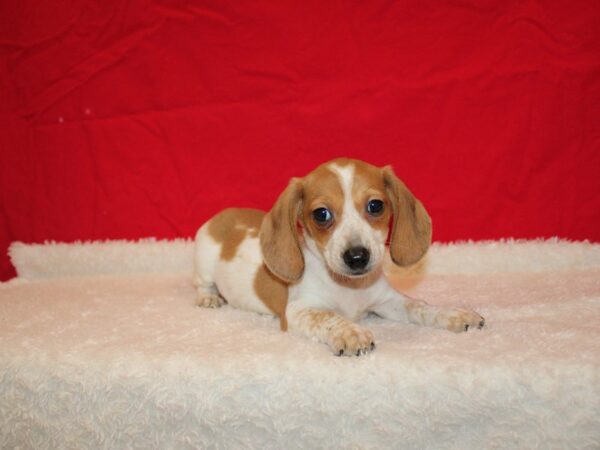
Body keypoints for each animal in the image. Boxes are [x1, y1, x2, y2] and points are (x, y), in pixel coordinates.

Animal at [195, 158, 486, 356]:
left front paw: (453, 314)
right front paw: (350, 332)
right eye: (321, 214)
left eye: (375, 206)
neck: (349, 288)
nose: (357, 257)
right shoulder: (298, 311)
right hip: (204, 264)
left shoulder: (389, 302)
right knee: (202, 284)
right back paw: (209, 298)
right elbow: (328, 317)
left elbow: (420, 307)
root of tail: (224, 214)